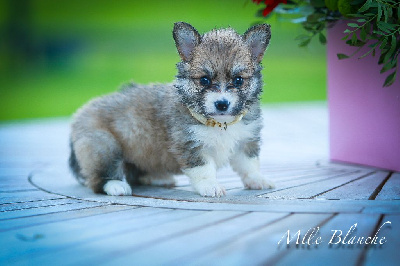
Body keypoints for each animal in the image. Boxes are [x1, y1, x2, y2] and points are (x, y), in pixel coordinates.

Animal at [69, 21, 276, 196]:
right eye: (204, 80)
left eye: (238, 80)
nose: (222, 104)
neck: (220, 124)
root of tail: (80, 113)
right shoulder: (191, 146)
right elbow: (204, 169)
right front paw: (211, 186)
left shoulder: (245, 142)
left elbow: (250, 164)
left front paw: (257, 180)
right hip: (103, 146)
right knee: (98, 178)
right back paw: (116, 185)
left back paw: (156, 178)